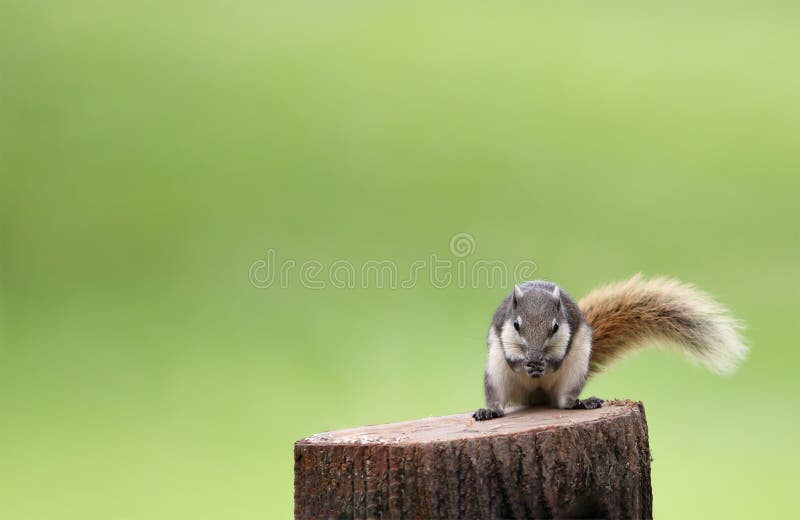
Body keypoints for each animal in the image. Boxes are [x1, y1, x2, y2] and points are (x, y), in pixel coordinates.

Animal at [473, 274, 747, 420]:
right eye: (516, 325)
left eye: (555, 327)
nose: (534, 356)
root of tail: (537, 396)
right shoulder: (502, 333)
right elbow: (512, 358)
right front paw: (525, 363)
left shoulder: (569, 334)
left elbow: (558, 358)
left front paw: (546, 364)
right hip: (496, 375)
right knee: (497, 399)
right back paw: (489, 412)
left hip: (574, 373)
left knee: (564, 401)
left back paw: (581, 402)